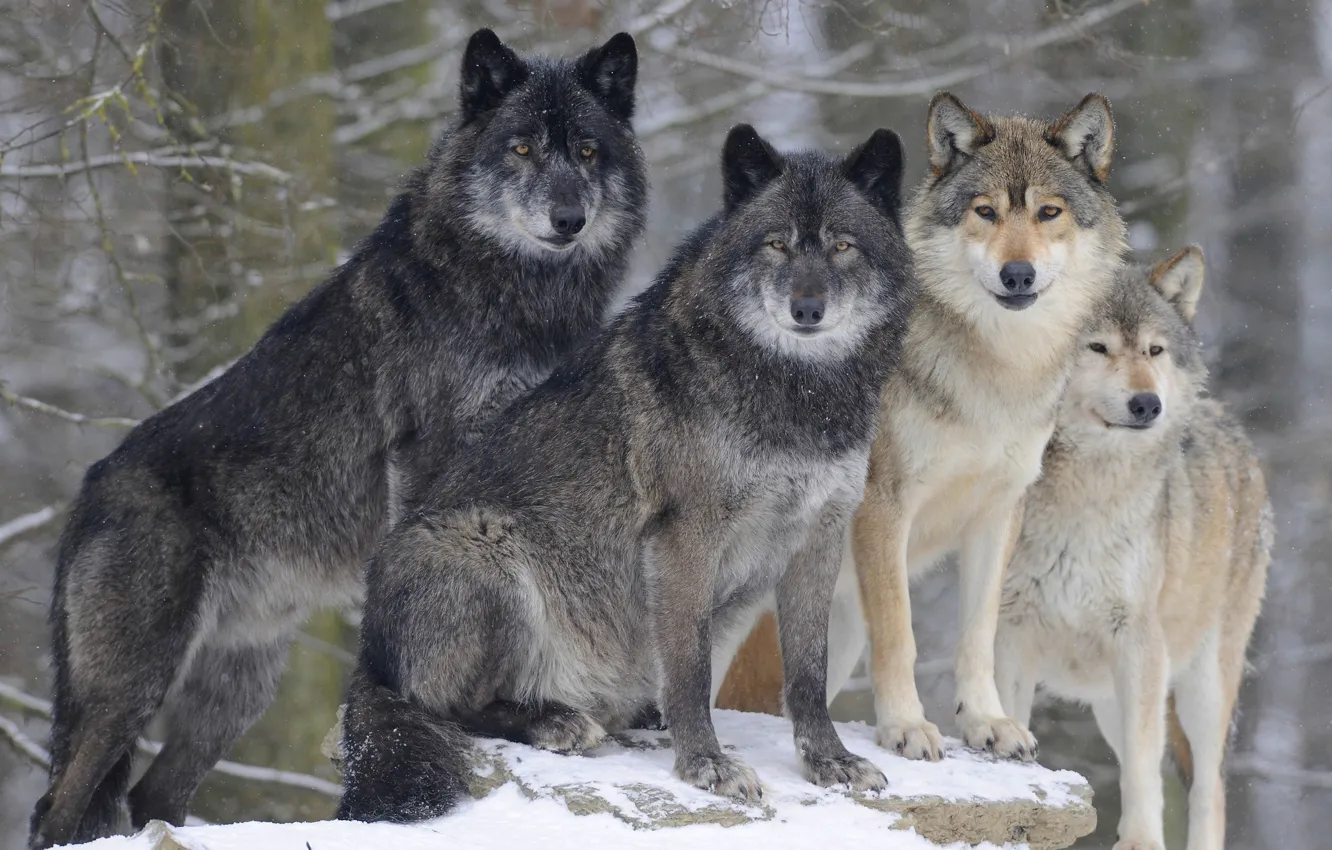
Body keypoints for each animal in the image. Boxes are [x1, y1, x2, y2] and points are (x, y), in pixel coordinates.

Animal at [29, 29, 647, 849]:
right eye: (519, 147)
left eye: (586, 150)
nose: (568, 217)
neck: (515, 294)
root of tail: (87, 490)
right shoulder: (428, 457)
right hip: (131, 686)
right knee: (62, 806)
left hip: (238, 691)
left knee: (152, 794)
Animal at [333, 122, 916, 824]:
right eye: (776, 243)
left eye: (842, 246)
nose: (808, 308)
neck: (798, 398)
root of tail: (368, 658)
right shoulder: (685, 537)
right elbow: (690, 669)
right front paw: (707, 765)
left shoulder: (819, 539)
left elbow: (808, 671)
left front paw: (829, 761)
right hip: (481, 548)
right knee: (446, 709)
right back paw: (556, 720)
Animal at [714, 93, 1129, 762]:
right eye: (986, 211)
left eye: (1048, 212)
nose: (1018, 274)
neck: (993, 372)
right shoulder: (884, 507)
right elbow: (900, 635)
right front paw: (906, 727)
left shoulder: (999, 513)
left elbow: (977, 636)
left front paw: (987, 722)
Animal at [995, 248, 1272, 850]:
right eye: (1097, 348)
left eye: (1154, 350)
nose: (1148, 404)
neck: (1086, 502)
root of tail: (1233, 426)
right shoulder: (1010, 635)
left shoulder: (1140, 644)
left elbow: (1145, 771)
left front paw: (1140, 840)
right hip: (1110, 700)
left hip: (1199, 687)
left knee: (1208, 792)